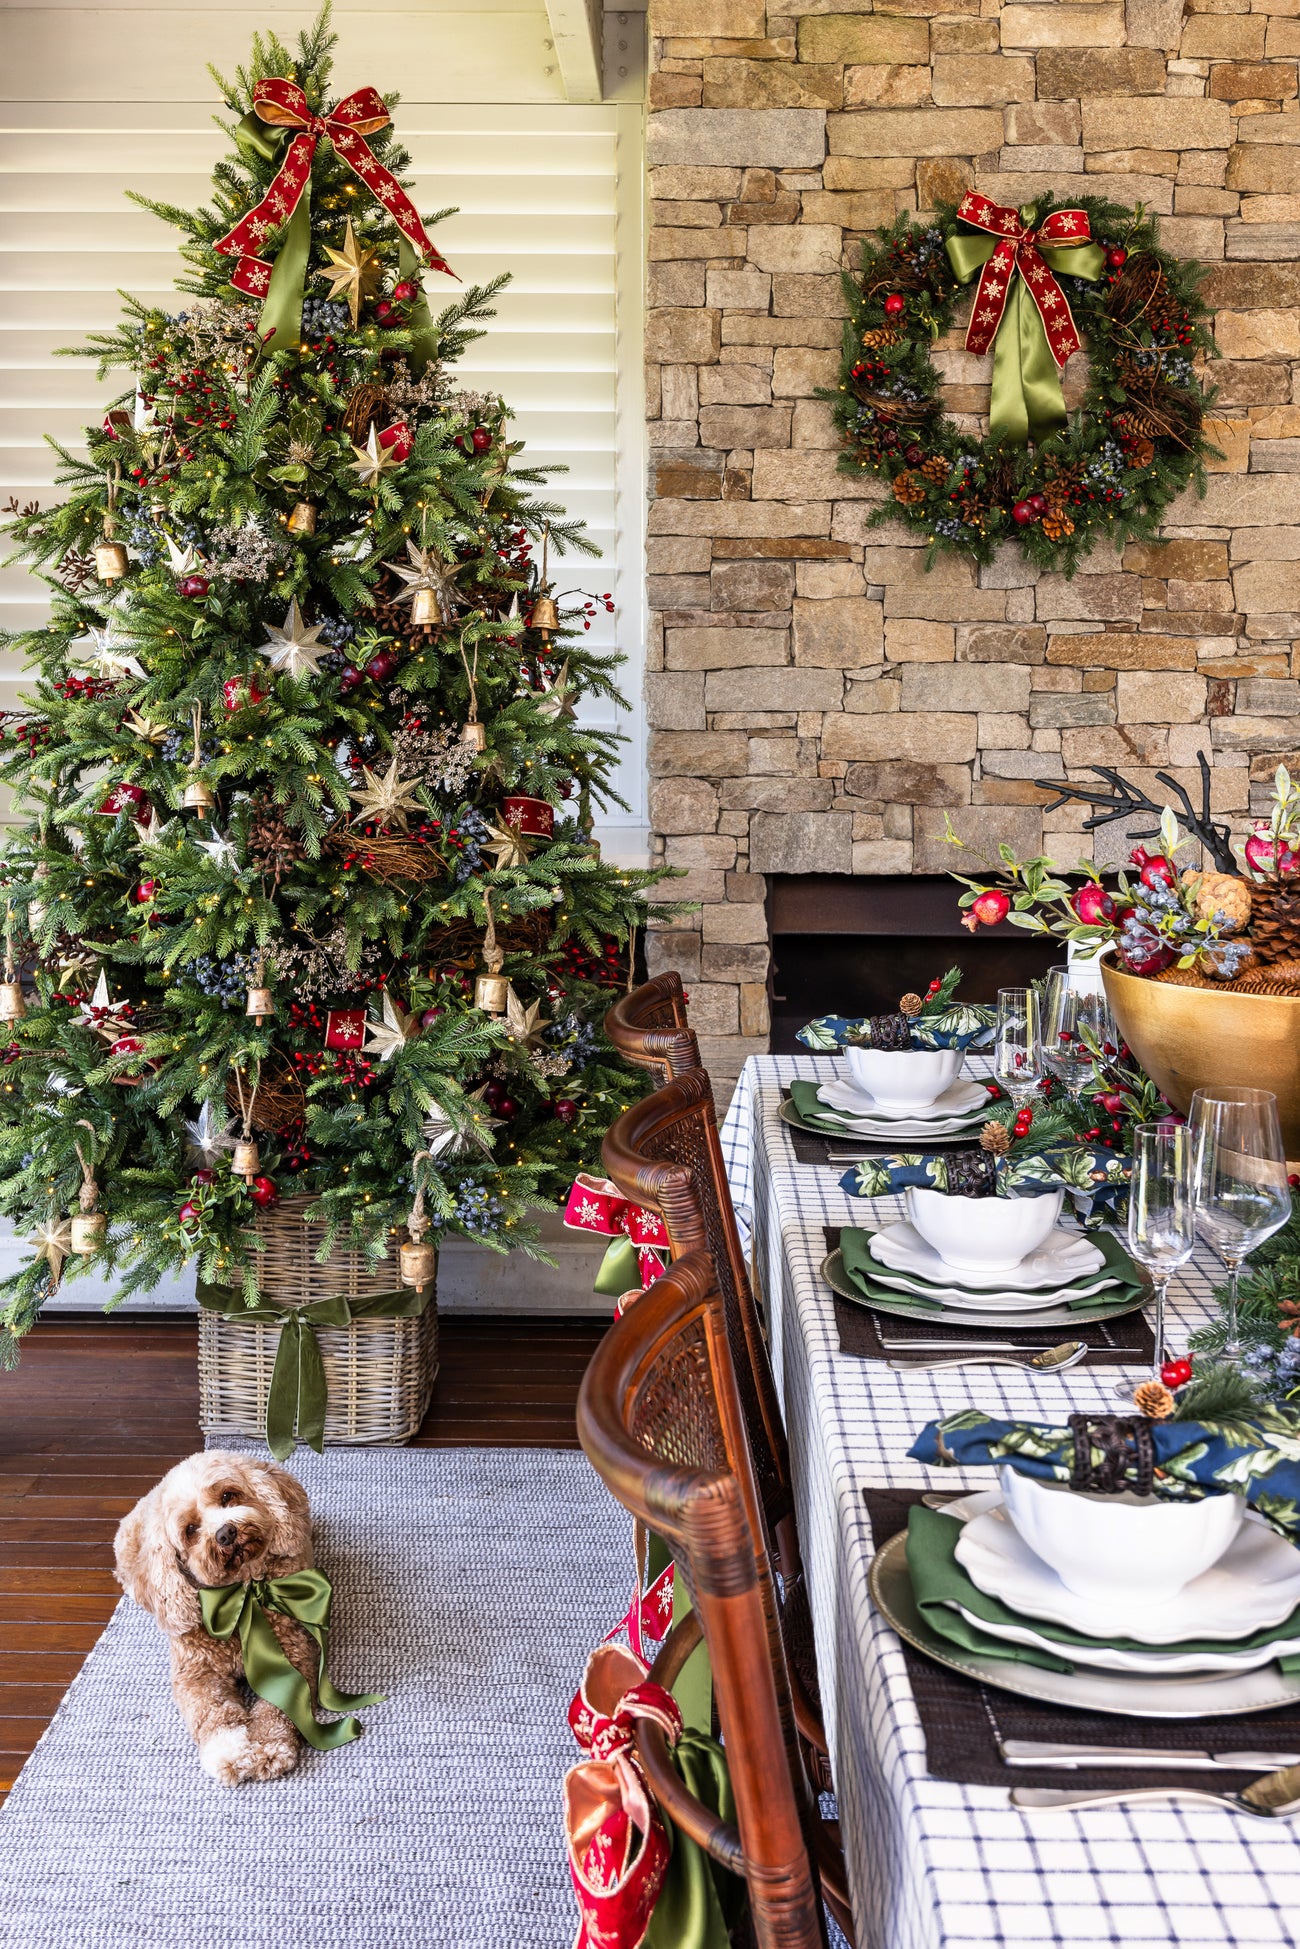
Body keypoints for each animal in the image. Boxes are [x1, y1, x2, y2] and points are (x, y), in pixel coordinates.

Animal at [117, 1450, 319, 1785]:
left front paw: (268, 1747)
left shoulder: (292, 1653)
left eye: (228, 1495)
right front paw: (231, 1753)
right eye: (190, 1529)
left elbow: (277, 1707)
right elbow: (213, 1714)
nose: (225, 1533)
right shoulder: (197, 1673)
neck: (241, 1596)